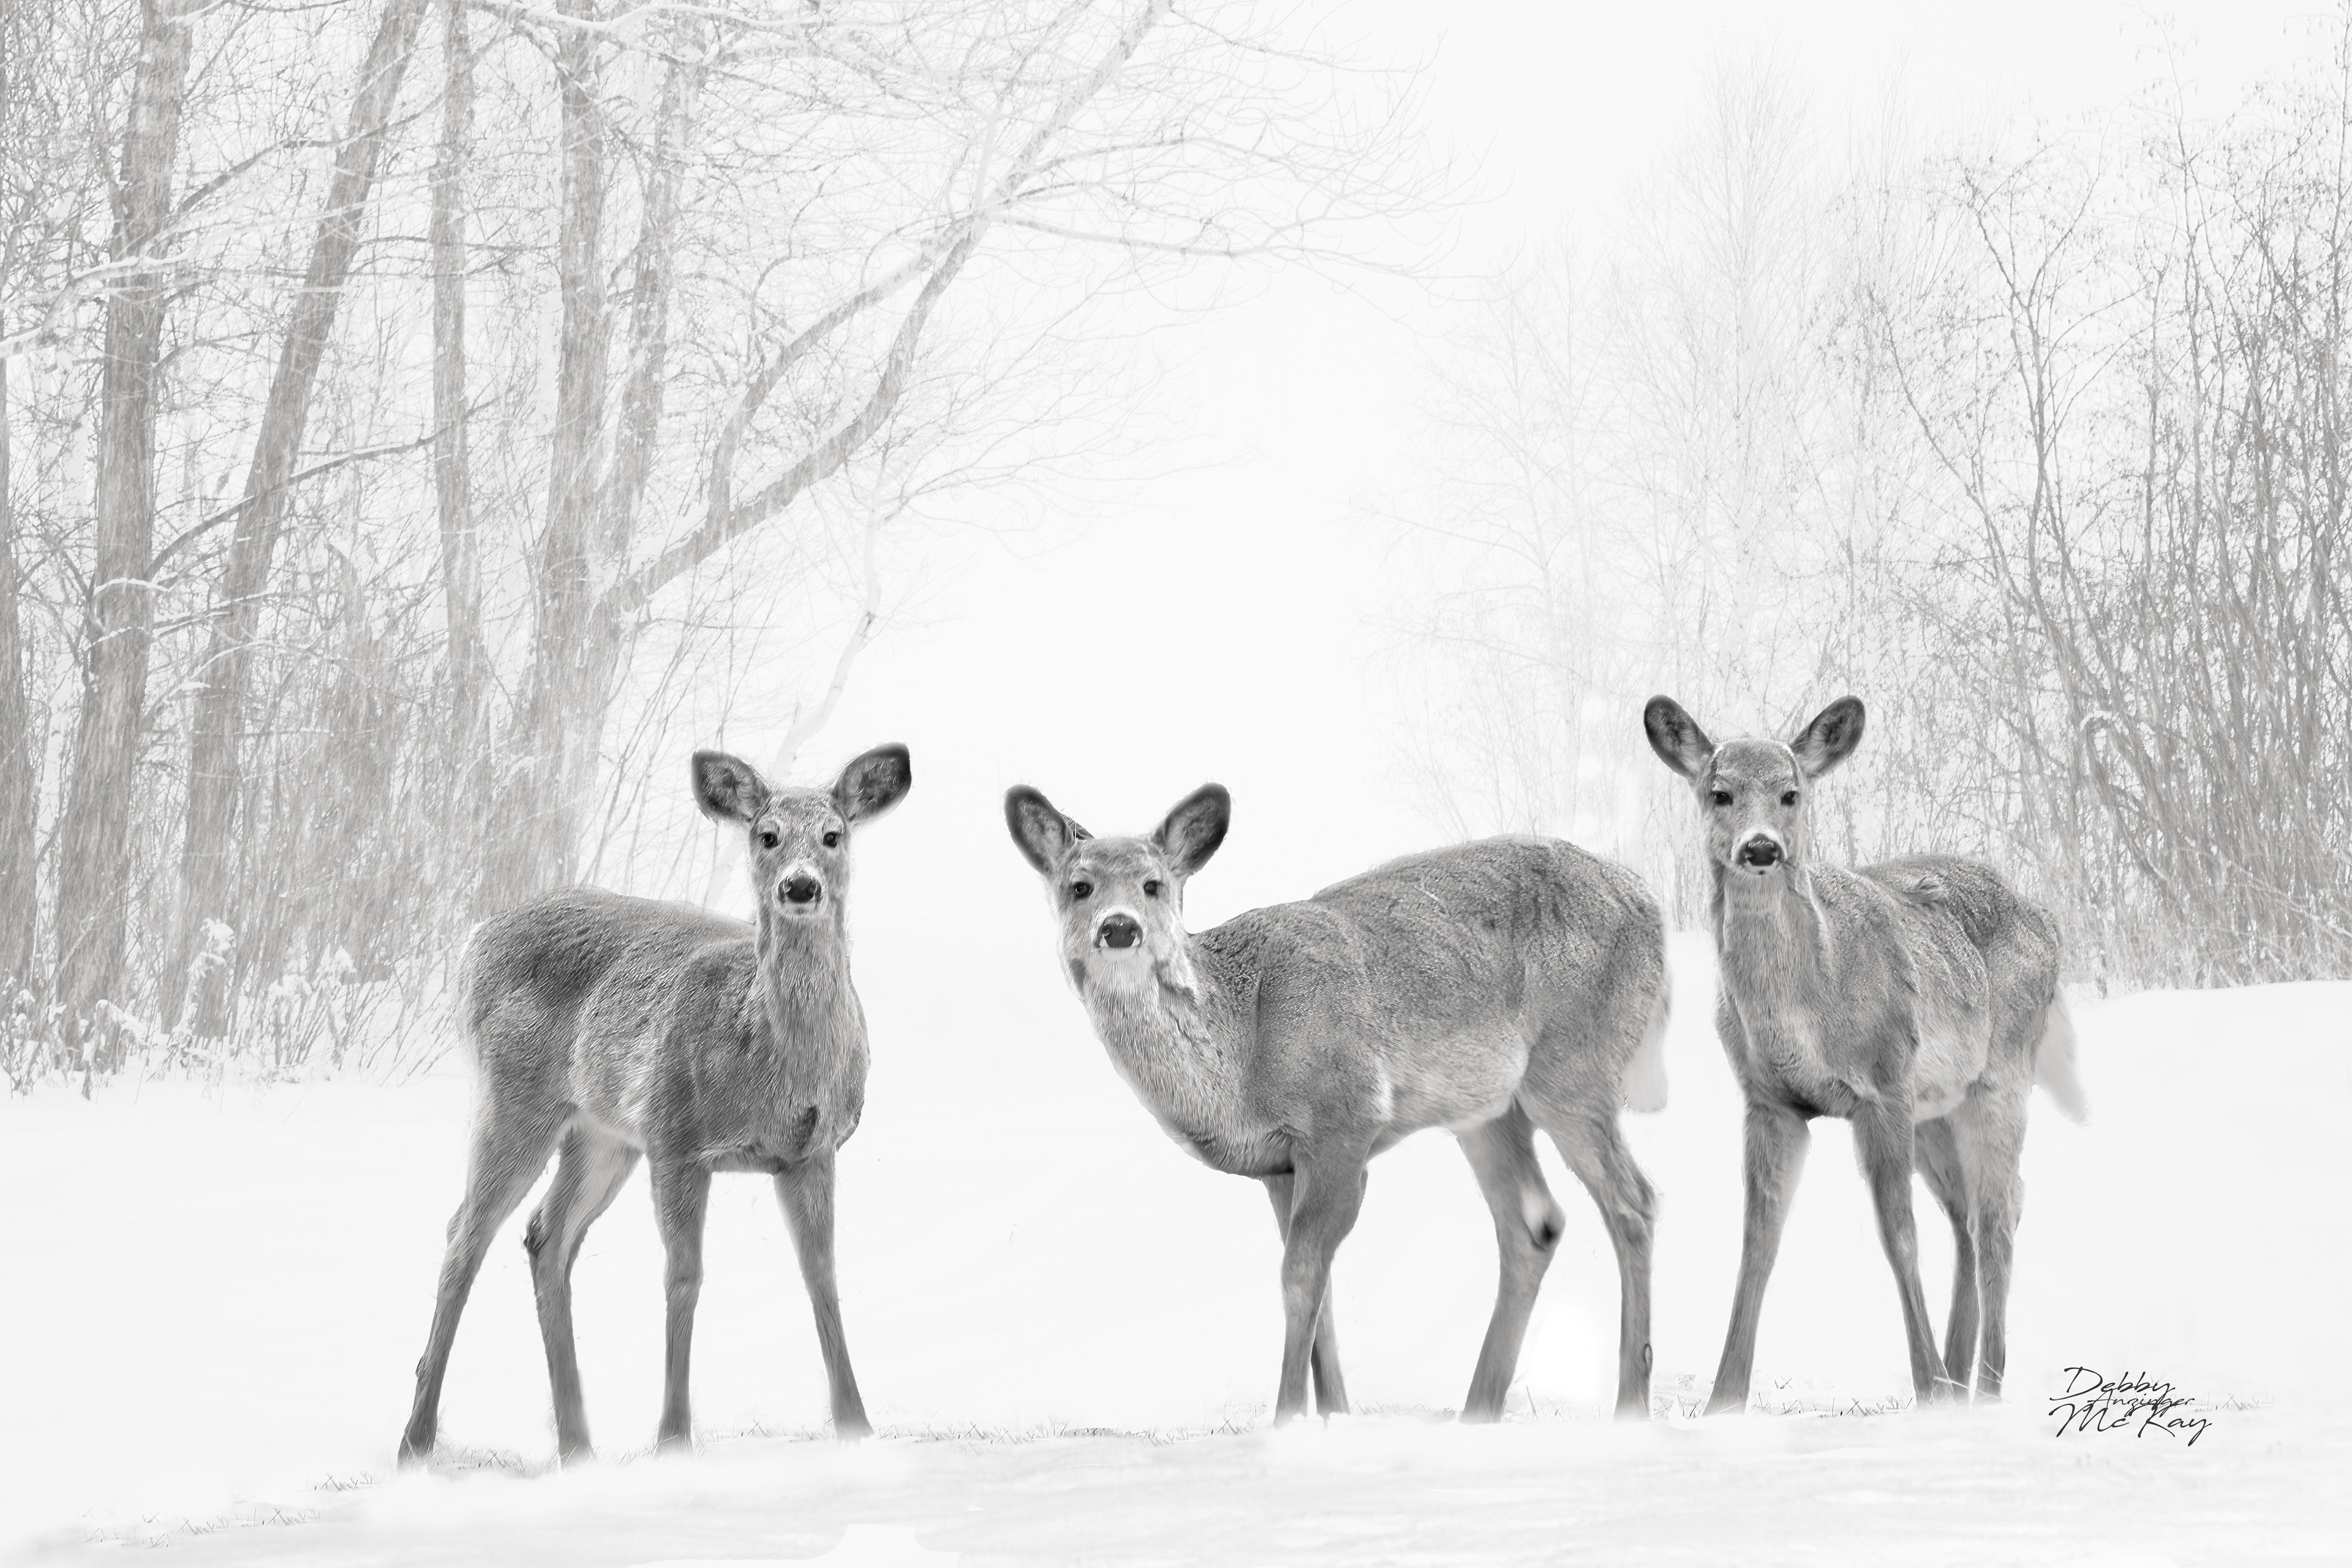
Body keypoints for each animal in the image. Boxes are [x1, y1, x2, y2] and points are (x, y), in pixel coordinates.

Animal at [396, 742, 913, 1466]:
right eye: (767, 834)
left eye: (834, 835)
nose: (800, 886)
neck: (772, 1063)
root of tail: (474, 940)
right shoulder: (676, 1136)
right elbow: (684, 1278)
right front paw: (672, 1437)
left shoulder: (812, 1151)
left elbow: (822, 1276)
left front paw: (856, 1426)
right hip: (514, 1097)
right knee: (464, 1234)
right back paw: (416, 1440)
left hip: (602, 1133)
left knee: (544, 1234)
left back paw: (578, 1445)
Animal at [1004, 781, 1671, 1425]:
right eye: (1079, 886)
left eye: (1154, 884)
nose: (1119, 927)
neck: (1242, 1058)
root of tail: (1650, 903)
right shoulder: (1279, 1165)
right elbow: (1316, 1287)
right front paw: (1334, 1412)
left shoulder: (1345, 1119)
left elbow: (1301, 1277)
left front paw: (1289, 1419)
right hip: (1486, 1110)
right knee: (1535, 1223)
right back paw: (1477, 1411)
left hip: (1574, 1066)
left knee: (1633, 1200)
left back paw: (1629, 1406)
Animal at [1642, 695, 2087, 1414]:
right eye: (1719, 792)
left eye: (1792, 793)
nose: (1760, 847)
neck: (1809, 1002)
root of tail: (2045, 919)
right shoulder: (1769, 1101)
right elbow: (1757, 1241)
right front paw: (1723, 1400)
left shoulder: (1884, 1086)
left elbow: (1898, 1236)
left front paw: (1926, 1387)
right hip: (1938, 1110)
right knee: (1969, 1218)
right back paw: (1960, 1378)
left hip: (2001, 1077)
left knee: (1999, 1214)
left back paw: (1983, 1387)